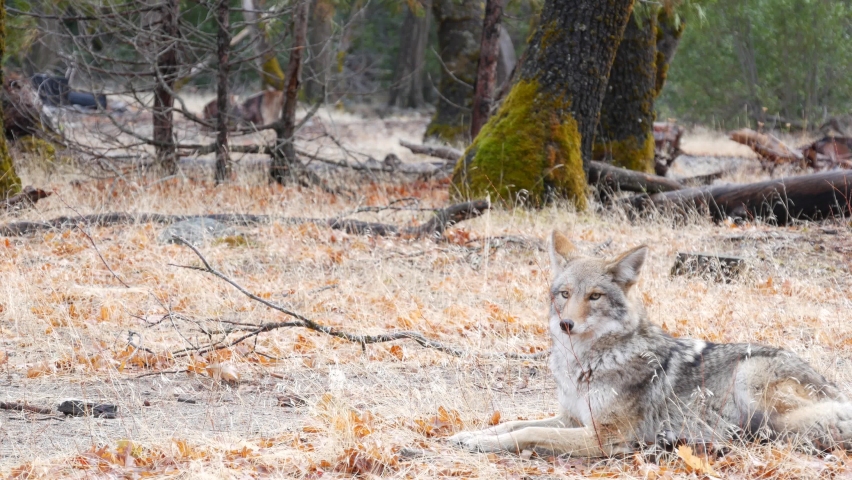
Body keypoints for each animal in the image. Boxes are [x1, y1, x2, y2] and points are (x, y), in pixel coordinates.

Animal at [450, 230, 852, 456]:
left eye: (594, 296)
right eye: (564, 294)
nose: (566, 325)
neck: (585, 364)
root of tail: (833, 388)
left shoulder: (605, 437)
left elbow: (530, 431)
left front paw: (485, 444)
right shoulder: (570, 417)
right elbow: (513, 423)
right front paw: (473, 435)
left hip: (750, 379)